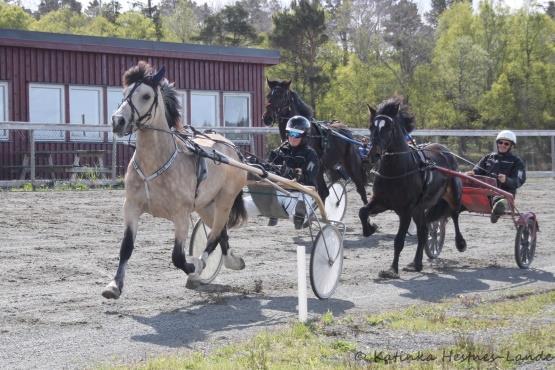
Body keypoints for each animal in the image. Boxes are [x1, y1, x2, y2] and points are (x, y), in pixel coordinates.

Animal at [103, 60, 247, 298]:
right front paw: (114, 286)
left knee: (215, 234)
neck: (154, 163)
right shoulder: (131, 206)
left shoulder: (180, 215)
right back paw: (232, 261)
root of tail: (231, 147)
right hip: (206, 205)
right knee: (221, 233)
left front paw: (194, 267)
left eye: (146, 96)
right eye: (124, 93)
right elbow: (126, 247)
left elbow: (178, 257)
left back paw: (201, 266)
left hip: (225, 199)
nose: (118, 121)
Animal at [360, 95, 464, 278]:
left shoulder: (406, 210)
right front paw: (369, 228)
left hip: (451, 194)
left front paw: (392, 270)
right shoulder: (381, 202)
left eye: (389, 127)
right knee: (423, 232)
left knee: (455, 214)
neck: (397, 169)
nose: (374, 154)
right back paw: (416, 263)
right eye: (371, 126)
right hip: (419, 208)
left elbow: (399, 240)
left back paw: (460, 243)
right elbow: (363, 211)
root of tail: (444, 150)